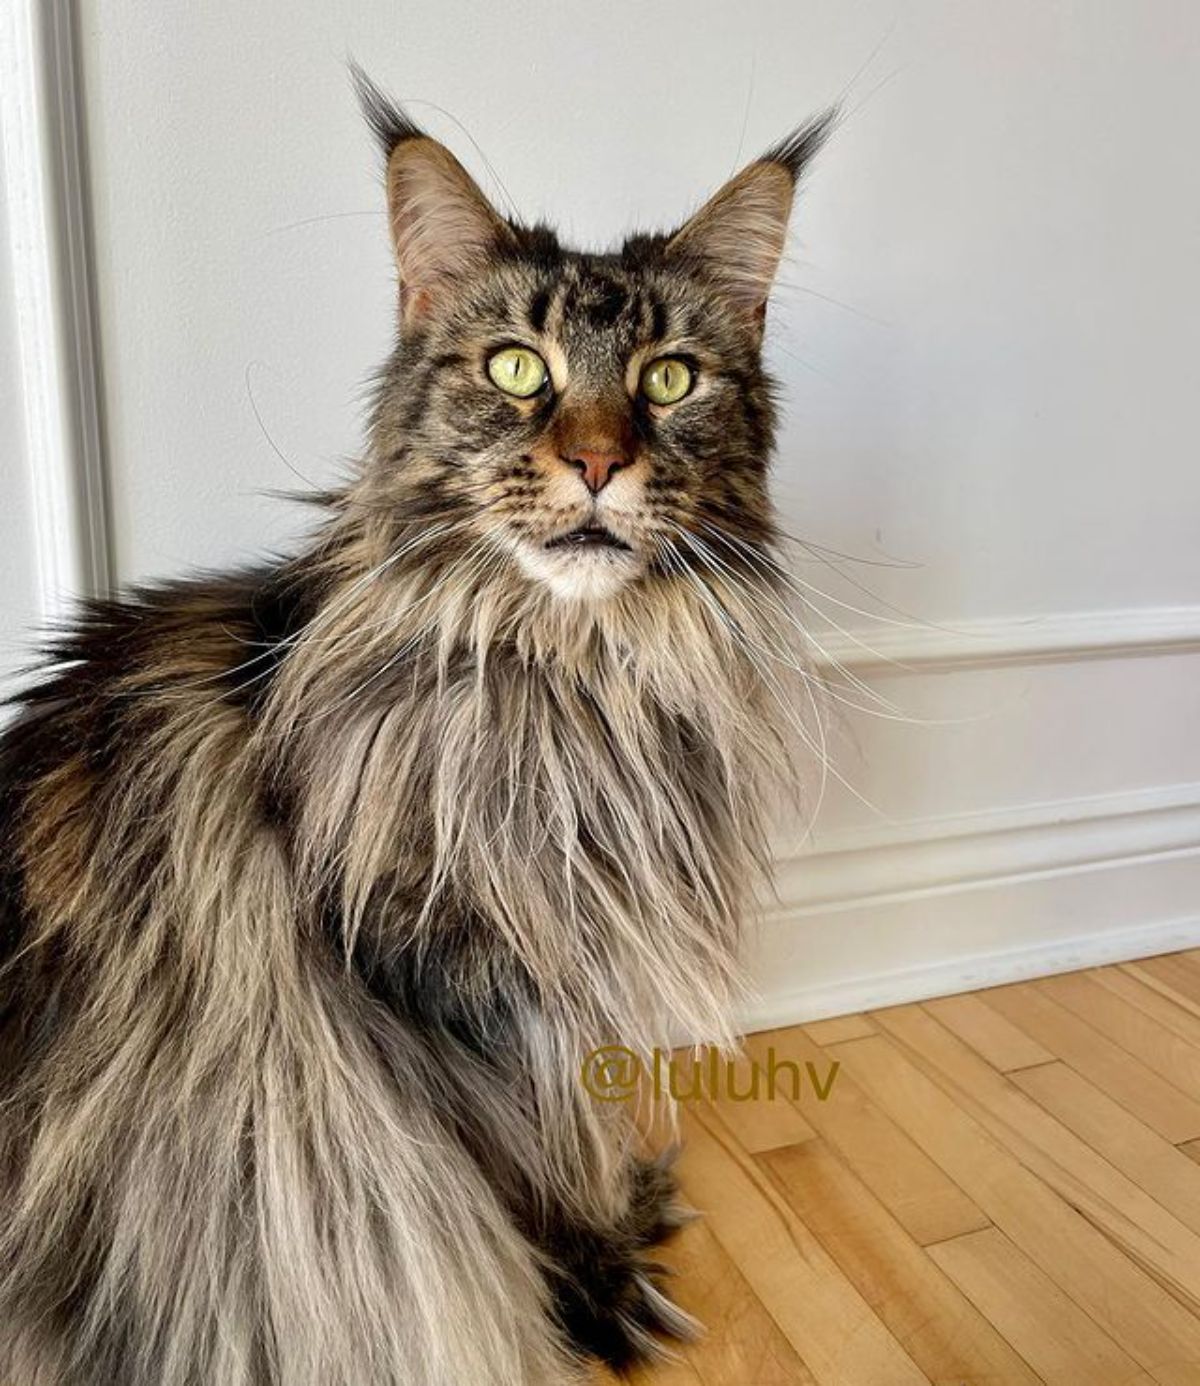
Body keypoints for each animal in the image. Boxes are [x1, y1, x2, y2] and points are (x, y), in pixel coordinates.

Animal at [0, 70, 825, 1386]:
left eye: (669, 381)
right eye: (518, 369)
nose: (598, 462)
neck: (563, 687)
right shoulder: (427, 989)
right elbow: (513, 1168)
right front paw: (584, 1283)